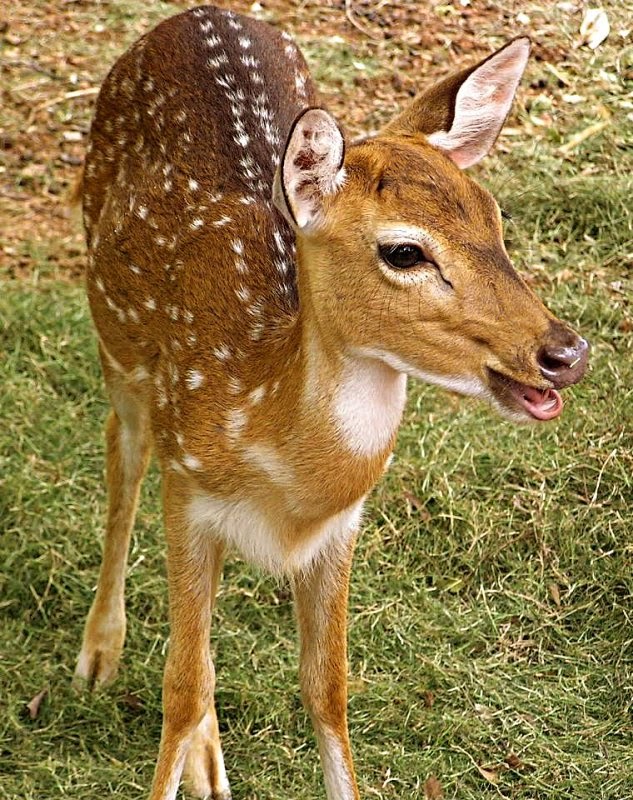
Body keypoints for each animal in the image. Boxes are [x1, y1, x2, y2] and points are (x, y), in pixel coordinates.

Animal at [72, 5, 588, 799]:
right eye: (404, 251)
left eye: (495, 220)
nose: (563, 353)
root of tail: (195, 14)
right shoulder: (188, 491)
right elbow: (182, 686)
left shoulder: (341, 528)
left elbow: (328, 689)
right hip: (118, 344)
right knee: (122, 460)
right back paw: (100, 655)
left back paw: (209, 764)